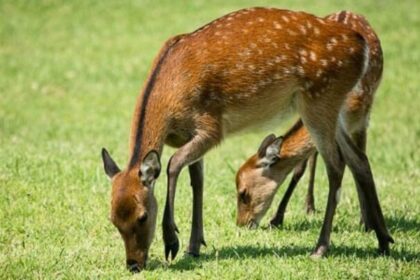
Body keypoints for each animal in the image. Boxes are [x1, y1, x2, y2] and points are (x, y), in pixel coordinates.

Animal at [236, 10, 384, 230]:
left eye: (244, 194)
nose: (240, 224)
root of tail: (348, 11)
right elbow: (300, 167)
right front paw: (277, 218)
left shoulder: (362, 121)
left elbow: (358, 164)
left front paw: (366, 222)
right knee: (312, 159)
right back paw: (309, 206)